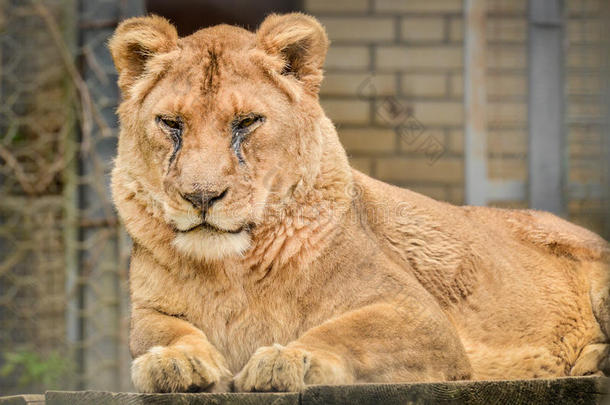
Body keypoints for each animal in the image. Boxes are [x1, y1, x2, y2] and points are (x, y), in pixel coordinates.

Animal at [109, 13, 608, 392]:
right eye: (171, 123)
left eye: (247, 122)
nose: (201, 196)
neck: (232, 271)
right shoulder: (147, 312)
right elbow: (167, 332)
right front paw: (173, 362)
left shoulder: (417, 314)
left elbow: (344, 333)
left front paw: (288, 360)